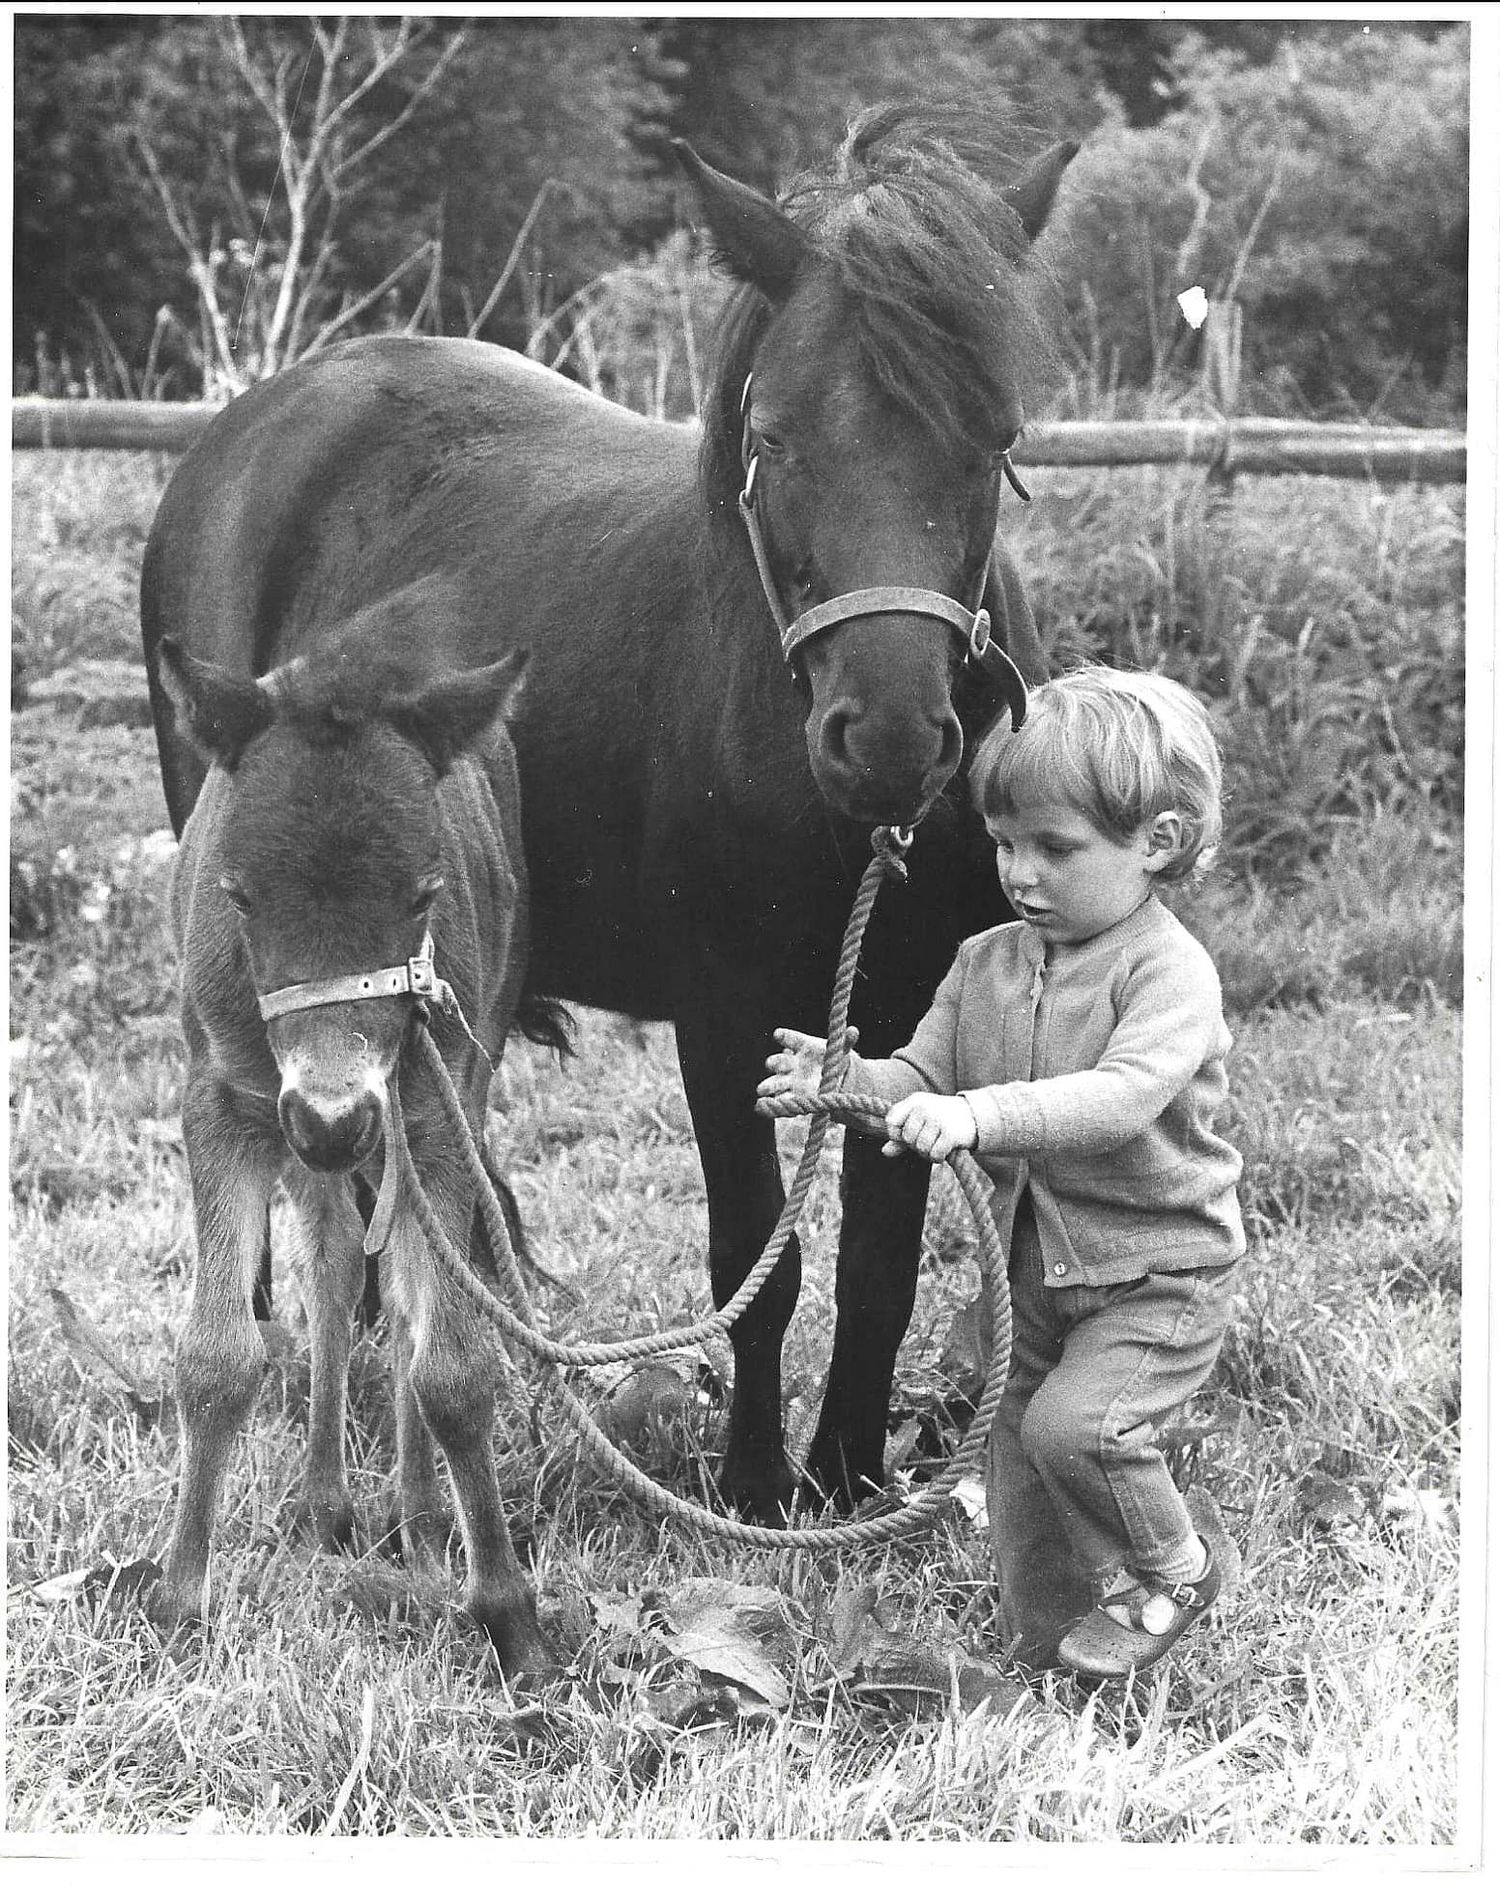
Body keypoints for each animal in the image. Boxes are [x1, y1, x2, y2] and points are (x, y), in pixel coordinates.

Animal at [141, 102, 1076, 1529]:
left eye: (995, 442)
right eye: (773, 438)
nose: (889, 739)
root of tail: (248, 428)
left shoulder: (913, 1003)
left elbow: (878, 1262)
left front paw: (851, 1481)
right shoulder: (720, 1010)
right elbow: (755, 1260)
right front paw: (753, 1488)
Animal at [154, 578, 555, 1674]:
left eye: (422, 895)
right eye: (238, 896)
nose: (333, 1120)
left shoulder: (436, 1108)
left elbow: (451, 1361)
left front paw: (507, 1613)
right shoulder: (225, 1099)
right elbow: (218, 1354)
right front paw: (177, 1602)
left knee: (411, 1289)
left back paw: (419, 1521)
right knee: (334, 1259)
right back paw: (323, 1502)